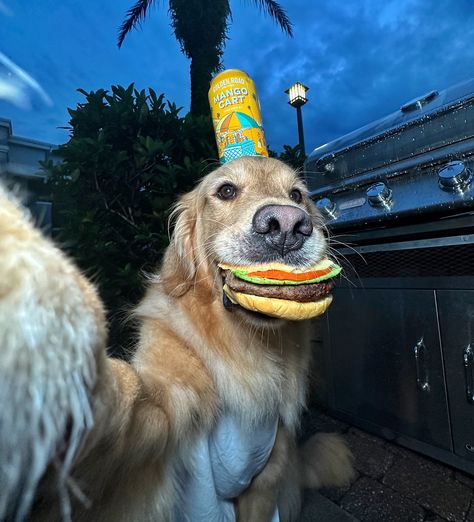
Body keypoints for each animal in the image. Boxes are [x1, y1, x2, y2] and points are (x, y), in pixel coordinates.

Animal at [0, 155, 352, 520]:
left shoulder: (266, 478)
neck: (243, 343)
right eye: (226, 190)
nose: (286, 224)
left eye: (297, 195)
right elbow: (128, 390)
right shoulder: (161, 409)